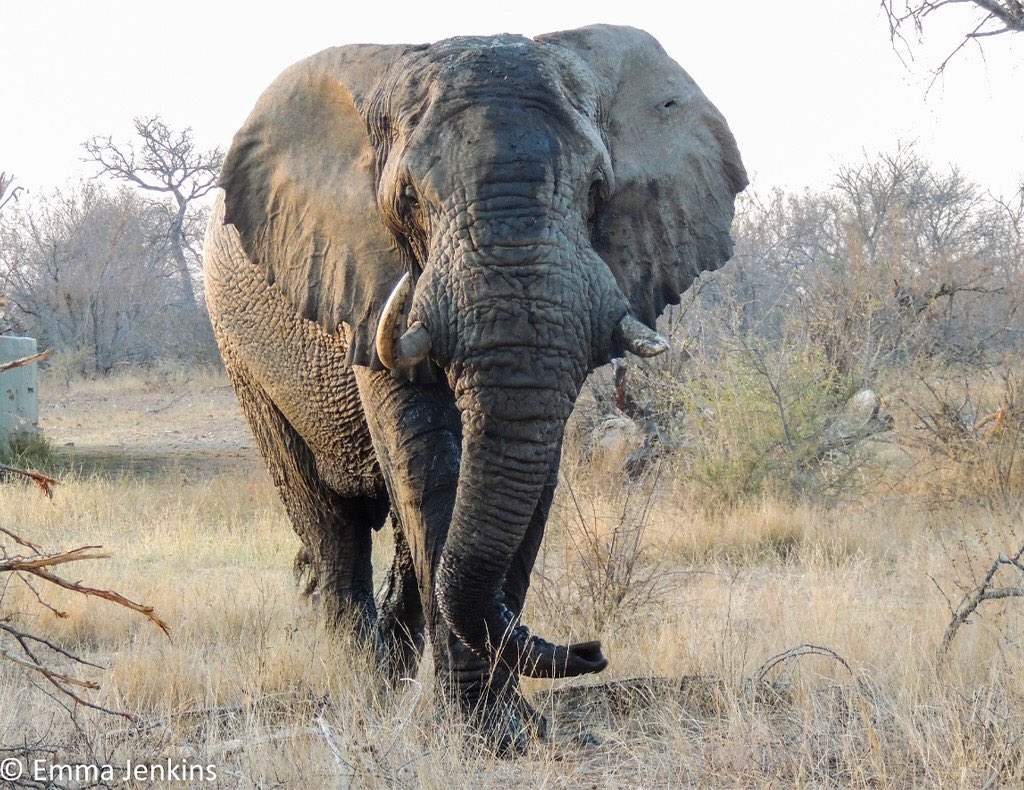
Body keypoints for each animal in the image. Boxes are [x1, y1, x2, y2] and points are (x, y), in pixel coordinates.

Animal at [204, 23, 746, 751]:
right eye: (408, 201)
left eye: (597, 192)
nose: (591, 650)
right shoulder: (371, 281)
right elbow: (429, 462)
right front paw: (474, 730)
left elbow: (530, 473)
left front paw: (507, 728)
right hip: (242, 352)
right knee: (328, 523)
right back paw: (367, 684)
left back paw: (395, 670)